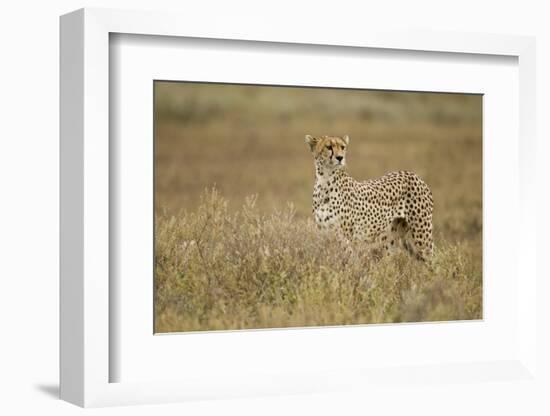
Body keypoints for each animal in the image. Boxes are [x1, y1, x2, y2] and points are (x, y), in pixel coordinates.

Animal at [306, 134, 436, 260]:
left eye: (342, 147)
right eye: (328, 147)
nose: (340, 158)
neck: (325, 180)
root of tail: (414, 175)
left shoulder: (345, 238)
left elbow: (348, 261)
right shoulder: (323, 233)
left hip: (421, 235)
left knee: (433, 258)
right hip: (391, 238)